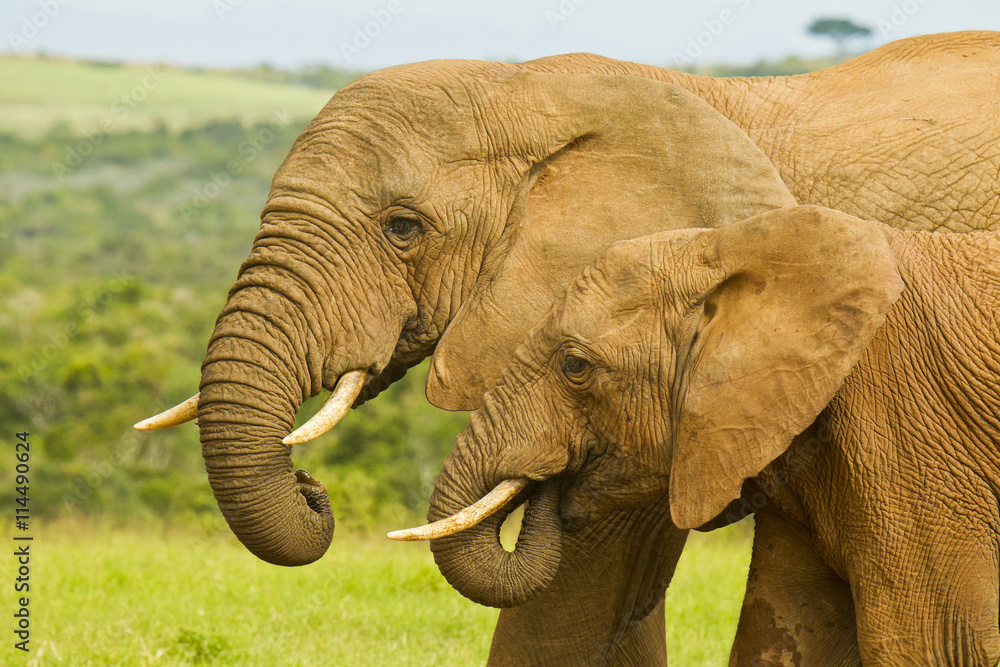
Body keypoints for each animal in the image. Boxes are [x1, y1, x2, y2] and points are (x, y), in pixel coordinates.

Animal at [403, 204, 1000, 665]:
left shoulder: (911, 430)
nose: (550, 476)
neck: (735, 247)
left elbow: (937, 644)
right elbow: (785, 635)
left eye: (574, 365)